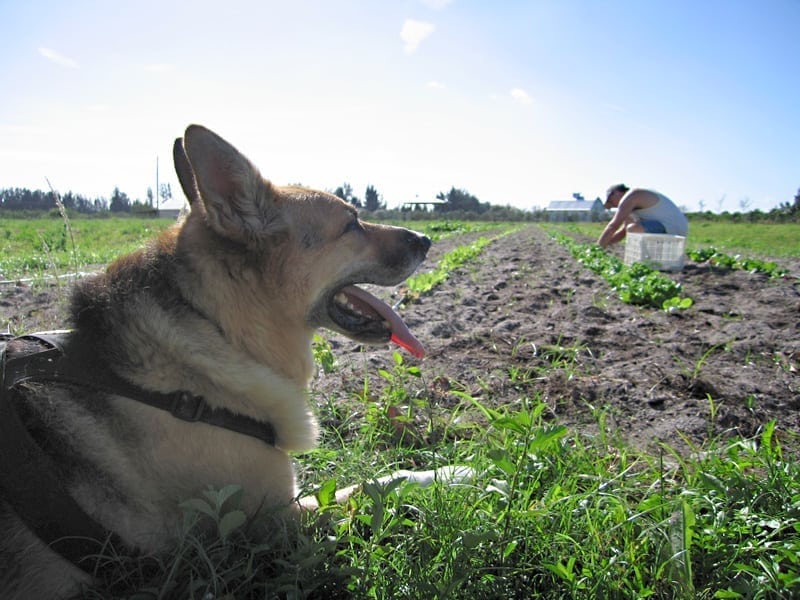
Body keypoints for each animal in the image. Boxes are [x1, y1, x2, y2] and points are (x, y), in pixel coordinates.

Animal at [0, 124, 432, 596]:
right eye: (352, 223)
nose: (427, 240)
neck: (215, 328)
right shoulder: (275, 522)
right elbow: (373, 486)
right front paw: (455, 474)